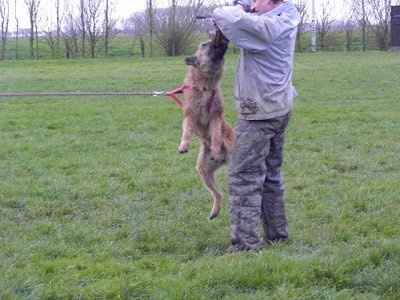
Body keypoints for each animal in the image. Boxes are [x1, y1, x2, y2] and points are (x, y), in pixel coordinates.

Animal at [178, 38, 234, 219]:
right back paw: (214, 211)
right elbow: (186, 131)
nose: (215, 39)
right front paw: (184, 145)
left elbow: (215, 135)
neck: (205, 86)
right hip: (204, 171)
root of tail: (224, 159)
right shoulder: (190, 115)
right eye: (204, 45)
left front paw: (215, 148)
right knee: (219, 194)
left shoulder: (215, 116)